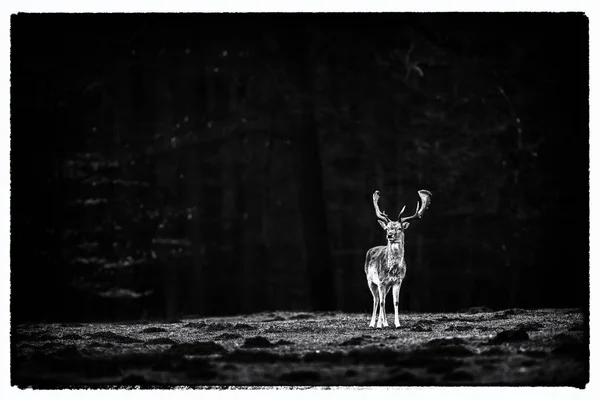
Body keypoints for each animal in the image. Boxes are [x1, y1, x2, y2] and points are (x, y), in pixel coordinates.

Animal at [364, 189, 434, 326]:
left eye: (400, 228)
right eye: (387, 228)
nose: (389, 235)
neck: (393, 269)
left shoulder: (398, 281)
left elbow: (396, 302)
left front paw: (397, 324)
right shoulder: (381, 281)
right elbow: (381, 302)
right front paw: (381, 325)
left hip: (386, 286)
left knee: (382, 299)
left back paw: (383, 322)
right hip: (370, 280)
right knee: (376, 300)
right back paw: (374, 323)